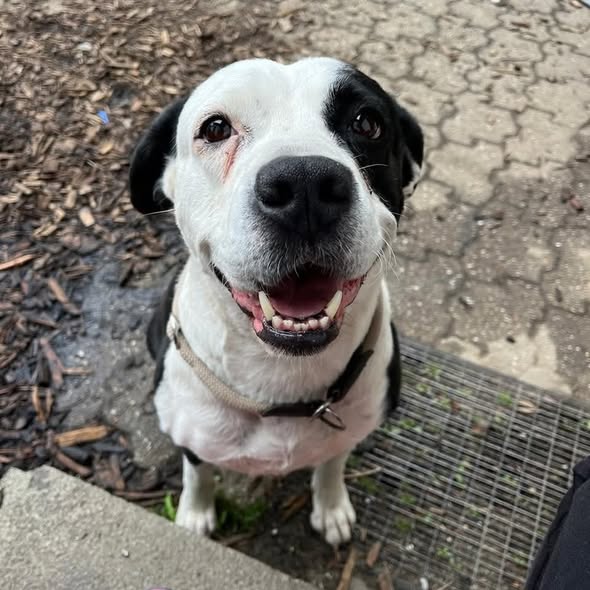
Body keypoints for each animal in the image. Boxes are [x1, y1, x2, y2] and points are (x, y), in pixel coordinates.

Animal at [129, 57, 423, 546]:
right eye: (215, 128)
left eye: (367, 122)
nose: (305, 184)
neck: (283, 377)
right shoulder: (192, 437)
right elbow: (198, 474)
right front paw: (195, 513)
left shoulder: (346, 432)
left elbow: (331, 464)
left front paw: (332, 506)